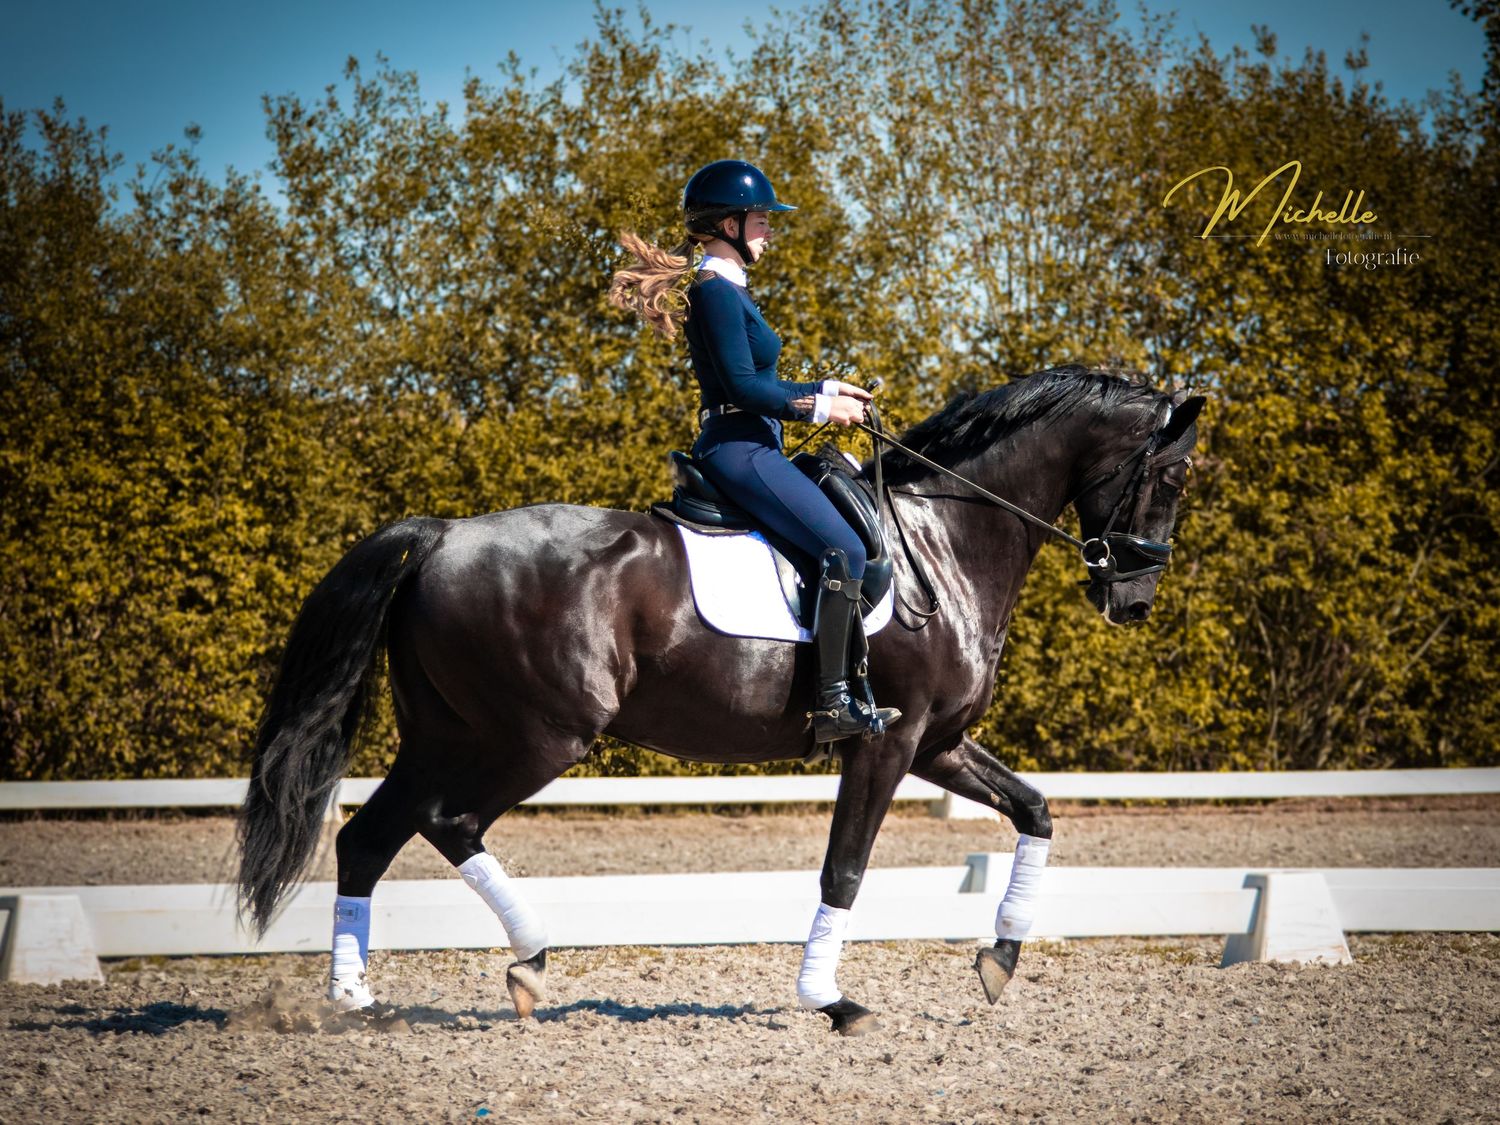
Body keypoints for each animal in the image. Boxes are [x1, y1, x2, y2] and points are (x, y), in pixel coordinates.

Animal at [237, 365, 1205, 1035]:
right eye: (1173, 480)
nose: (1134, 599)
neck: (942, 537)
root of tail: (441, 537)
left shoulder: (935, 742)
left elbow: (1034, 810)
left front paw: (1000, 955)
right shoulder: (884, 744)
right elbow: (844, 867)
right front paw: (830, 998)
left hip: (442, 733)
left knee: (367, 840)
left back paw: (353, 999)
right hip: (539, 735)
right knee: (450, 822)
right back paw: (531, 961)